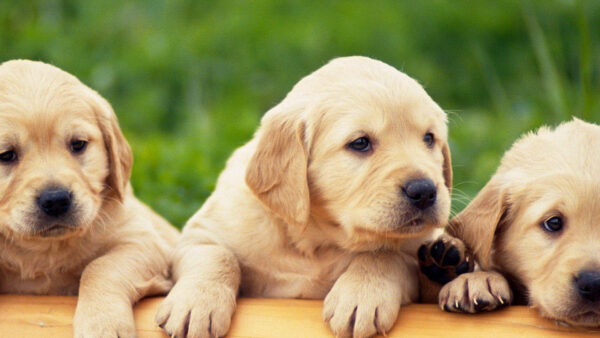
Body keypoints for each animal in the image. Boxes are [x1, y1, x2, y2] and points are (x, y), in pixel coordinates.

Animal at [0, 59, 178, 336]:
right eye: (6, 155)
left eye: (78, 144)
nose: (56, 200)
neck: (45, 249)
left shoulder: (145, 242)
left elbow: (99, 267)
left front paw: (103, 323)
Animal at [157, 56, 452, 338]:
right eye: (360, 143)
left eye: (429, 138)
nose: (424, 191)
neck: (316, 240)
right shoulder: (201, 233)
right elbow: (217, 255)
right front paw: (196, 306)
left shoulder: (416, 250)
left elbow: (384, 254)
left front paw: (362, 296)